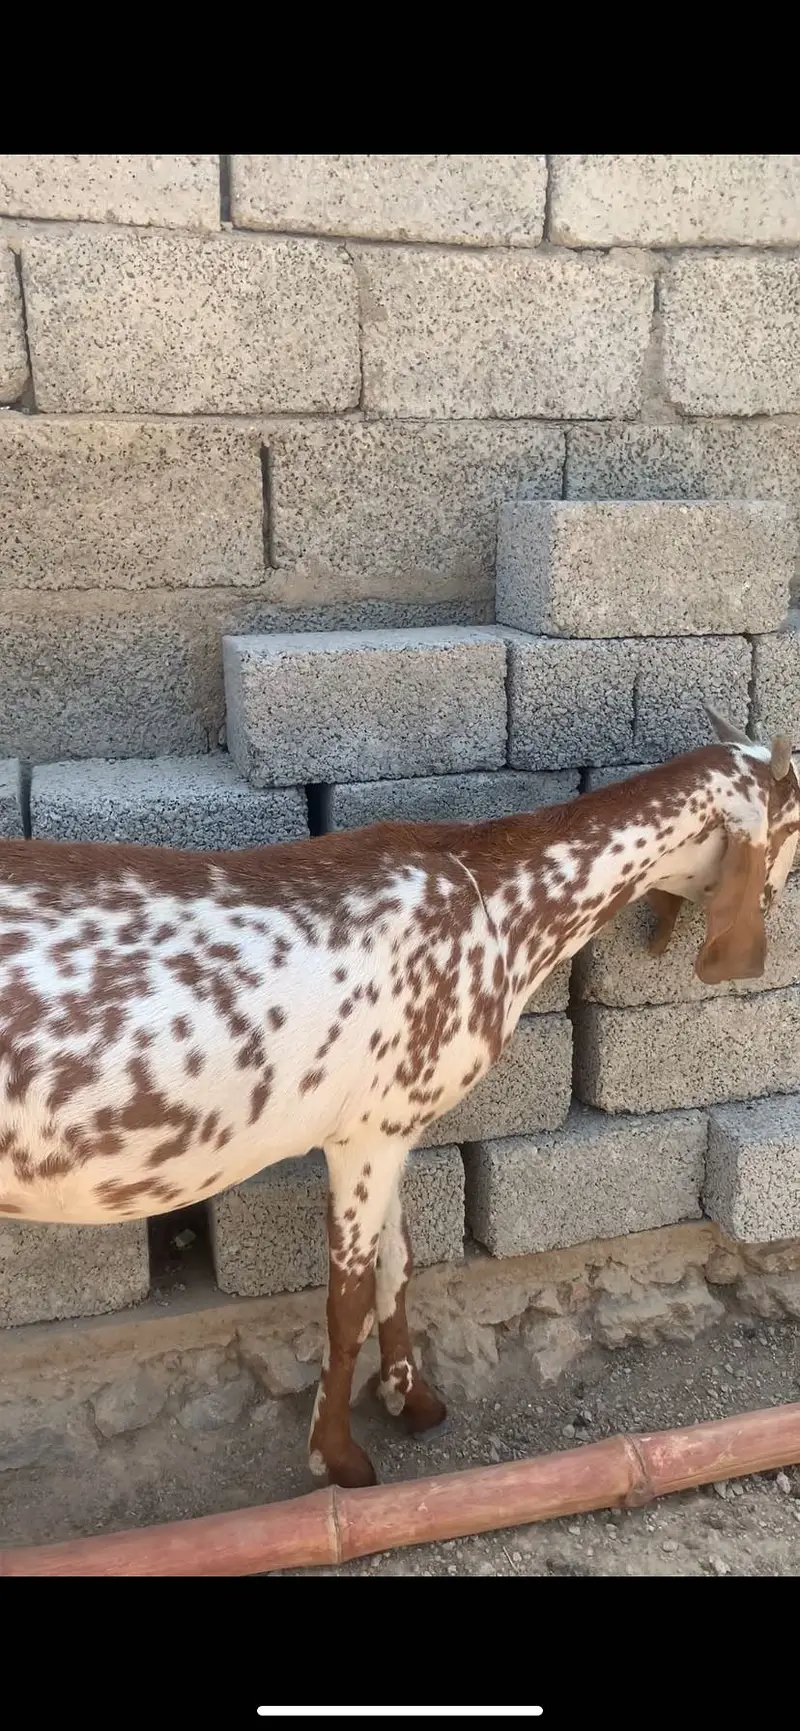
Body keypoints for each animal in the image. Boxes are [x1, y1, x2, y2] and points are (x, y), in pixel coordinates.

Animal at [0, 707, 798, 1487]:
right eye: (793, 821)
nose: (776, 909)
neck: (495, 900)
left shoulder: (393, 1127)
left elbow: (399, 1264)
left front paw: (413, 1400)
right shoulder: (367, 1133)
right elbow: (348, 1297)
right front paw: (340, 1458)